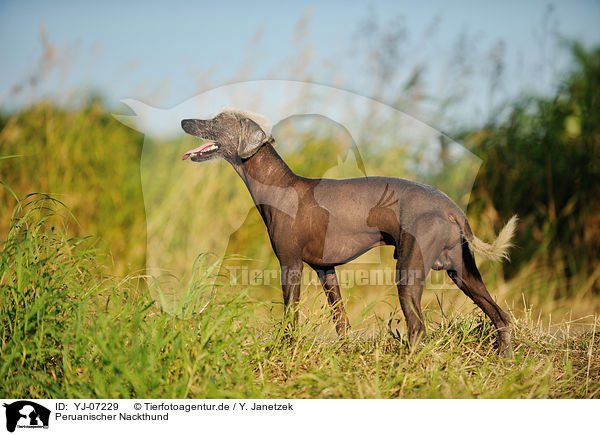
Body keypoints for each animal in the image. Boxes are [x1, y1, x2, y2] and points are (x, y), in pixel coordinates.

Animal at [180, 109, 516, 358]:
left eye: (215, 121)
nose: (184, 121)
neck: (280, 186)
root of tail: (451, 208)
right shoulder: (326, 270)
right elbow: (340, 318)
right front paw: (343, 353)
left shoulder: (290, 265)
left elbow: (290, 316)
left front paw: (285, 351)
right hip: (463, 273)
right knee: (500, 316)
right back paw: (505, 361)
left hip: (408, 274)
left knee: (419, 329)